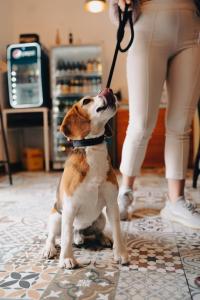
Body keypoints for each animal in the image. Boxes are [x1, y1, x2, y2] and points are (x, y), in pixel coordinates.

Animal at [43, 88, 129, 268]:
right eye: (86, 101)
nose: (108, 90)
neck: (93, 149)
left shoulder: (112, 204)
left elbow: (118, 231)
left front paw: (120, 253)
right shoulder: (69, 208)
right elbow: (66, 237)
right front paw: (67, 258)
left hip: (101, 218)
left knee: (91, 232)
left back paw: (101, 238)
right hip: (56, 217)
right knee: (54, 236)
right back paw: (50, 249)